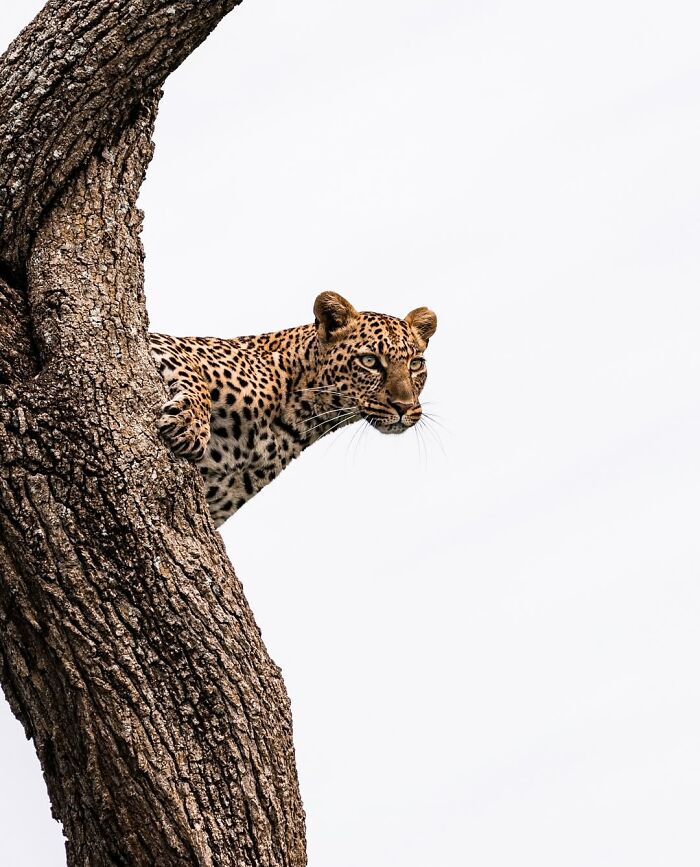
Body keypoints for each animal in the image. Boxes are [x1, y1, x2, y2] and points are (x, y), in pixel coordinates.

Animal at [150, 292, 437, 527]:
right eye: (369, 361)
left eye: (415, 364)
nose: (404, 406)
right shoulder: (164, 343)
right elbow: (195, 377)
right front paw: (190, 427)